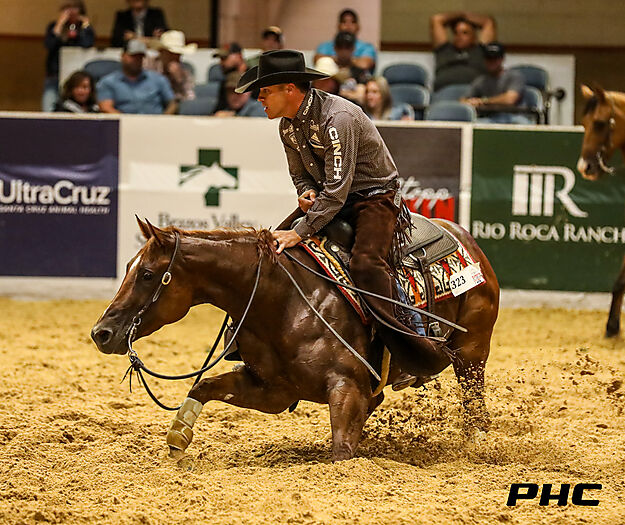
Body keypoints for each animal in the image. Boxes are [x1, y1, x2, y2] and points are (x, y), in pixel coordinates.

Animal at [91, 217, 499, 461]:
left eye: (147, 273)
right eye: (127, 267)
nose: (101, 333)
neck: (281, 299)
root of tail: (465, 237)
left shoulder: (347, 385)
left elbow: (341, 451)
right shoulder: (273, 390)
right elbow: (203, 386)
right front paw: (178, 439)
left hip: (472, 351)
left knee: (474, 398)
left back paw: (478, 441)